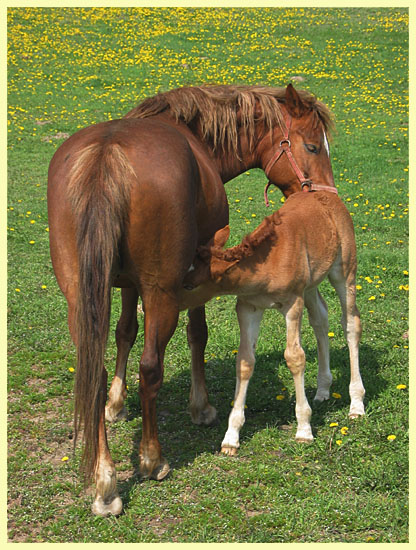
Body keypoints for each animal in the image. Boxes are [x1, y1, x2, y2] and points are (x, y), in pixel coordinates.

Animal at [48, 83, 334, 516]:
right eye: (314, 146)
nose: (326, 196)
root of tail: (107, 153)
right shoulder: (197, 269)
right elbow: (197, 334)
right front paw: (201, 407)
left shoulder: (125, 283)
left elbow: (124, 332)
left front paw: (116, 404)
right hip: (161, 293)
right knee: (151, 368)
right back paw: (152, 460)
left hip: (80, 298)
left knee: (93, 370)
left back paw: (104, 481)